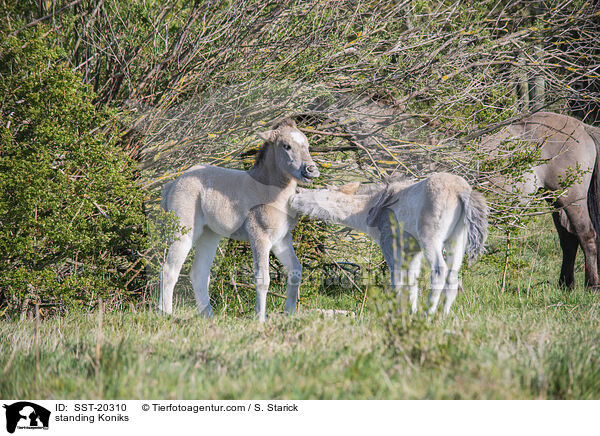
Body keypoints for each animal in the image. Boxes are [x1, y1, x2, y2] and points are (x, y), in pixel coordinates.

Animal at [158, 118, 318, 320]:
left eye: (307, 144)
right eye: (286, 146)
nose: (311, 170)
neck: (269, 192)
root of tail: (173, 183)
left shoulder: (281, 239)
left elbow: (295, 270)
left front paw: (288, 314)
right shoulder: (259, 236)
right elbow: (262, 279)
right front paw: (260, 319)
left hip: (209, 234)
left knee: (199, 273)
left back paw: (209, 316)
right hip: (183, 229)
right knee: (169, 270)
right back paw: (165, 314)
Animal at [288, 172, 490, 316]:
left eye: (309, 191)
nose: (291, 198)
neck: (372, 209)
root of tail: (462, 191)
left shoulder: (390, 245)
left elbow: (398, 280)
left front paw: (398, 314)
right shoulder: (412, 252)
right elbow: (412, 283)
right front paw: (410, 313)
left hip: (431, 240)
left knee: (439, 271)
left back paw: (429, 314)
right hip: (457, 241)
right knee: (453, 276)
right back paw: (442, 316)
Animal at [482, 111, 600, 290]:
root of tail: (583, 128)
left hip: (573, 201)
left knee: (586, 236)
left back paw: (591, 285)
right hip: (555, 200)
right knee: (568, 240)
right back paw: (566, 284)